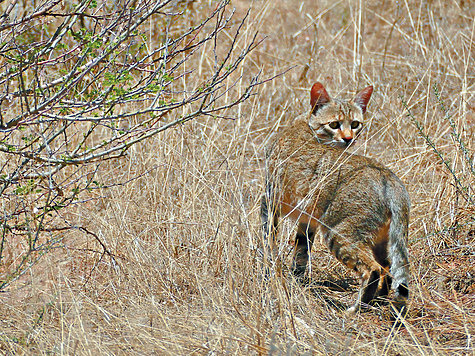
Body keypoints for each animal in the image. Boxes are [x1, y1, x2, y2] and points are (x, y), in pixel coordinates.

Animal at [262, 82, 410, 314]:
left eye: (355, 124)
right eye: (334, 124)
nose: (348, 138)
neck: (304, 124)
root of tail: (388, 176)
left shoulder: (270, 201)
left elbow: (269, 241)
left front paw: (269, 270)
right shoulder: (307, 219)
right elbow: (301, 251)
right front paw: (296, 279)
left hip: (339, 233)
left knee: (374, 269)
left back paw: (356, 308)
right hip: (382, 237)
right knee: (388, 267)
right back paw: (379, 299)